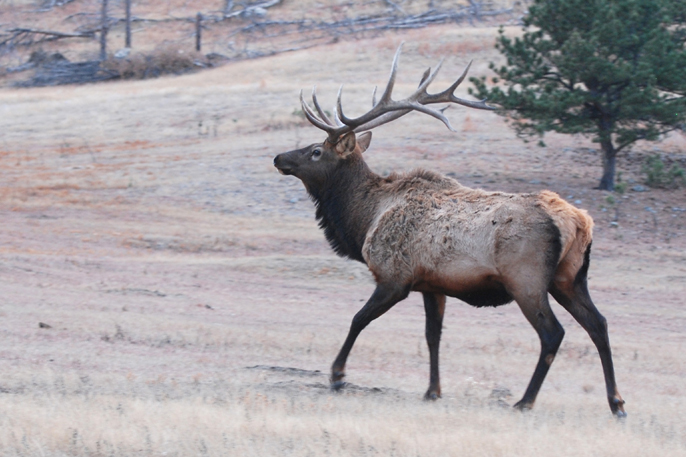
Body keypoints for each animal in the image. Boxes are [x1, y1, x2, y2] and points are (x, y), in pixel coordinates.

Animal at [272, 44, 628, 416]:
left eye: (315, 151)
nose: (279, 157)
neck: (363, 219)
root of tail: (579, 221)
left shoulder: (394, 277)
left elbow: (358, 319)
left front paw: (338, 375)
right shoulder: (432, 284)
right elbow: (433, 336)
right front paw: (432, 390)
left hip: (526, 278)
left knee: (553, 333)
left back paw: (525, 400)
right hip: (570, 278)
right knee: (599, 324)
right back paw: (616, 402)